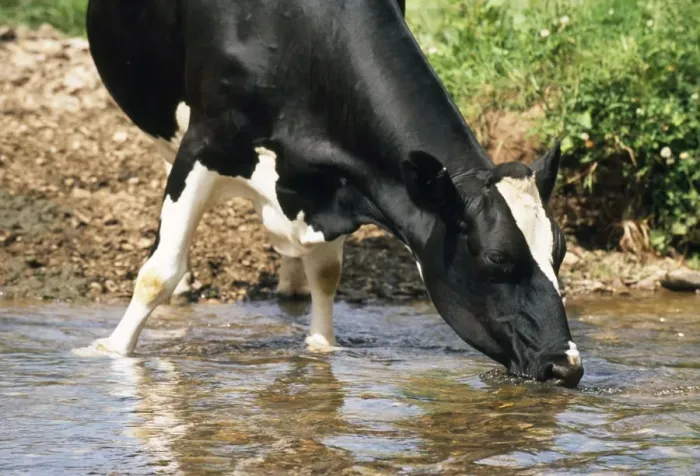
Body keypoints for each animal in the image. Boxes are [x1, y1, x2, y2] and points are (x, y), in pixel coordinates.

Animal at [80, 0, 584, 388]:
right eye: (496, 258)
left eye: (559, 251)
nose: (567, 366)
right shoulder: (204, 142)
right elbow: (156, 274)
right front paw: (111, 350)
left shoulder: (343, 180)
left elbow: (326, 274)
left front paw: (322, 347)